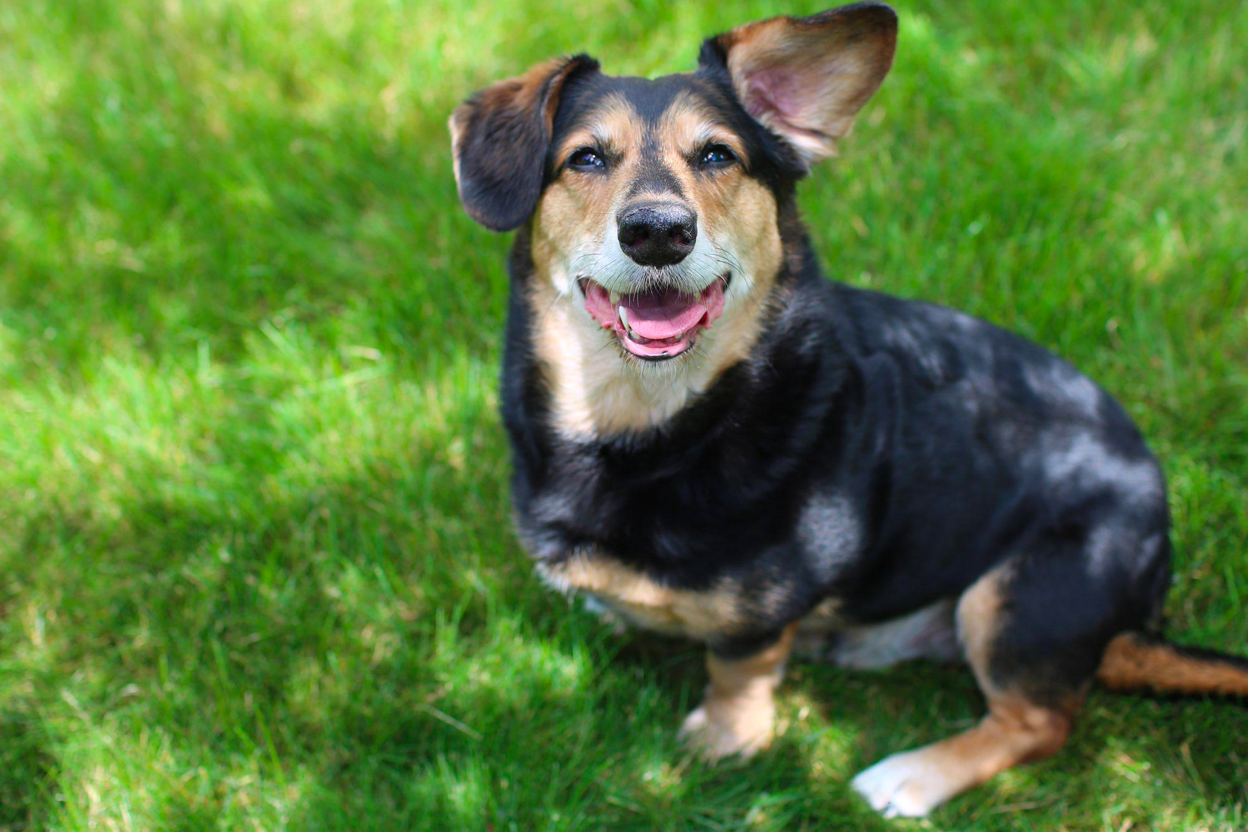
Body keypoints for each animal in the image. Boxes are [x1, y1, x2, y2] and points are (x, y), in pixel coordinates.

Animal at [449, 1, 1248, 818]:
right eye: (584, 160)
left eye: (717, 156)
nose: (658, 232)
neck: (657, 425)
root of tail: (1146, 601)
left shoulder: (760, 615)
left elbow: (737, 668)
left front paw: (725, 739)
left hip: (1019, 591)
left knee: (1040, 722)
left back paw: (910, 777)